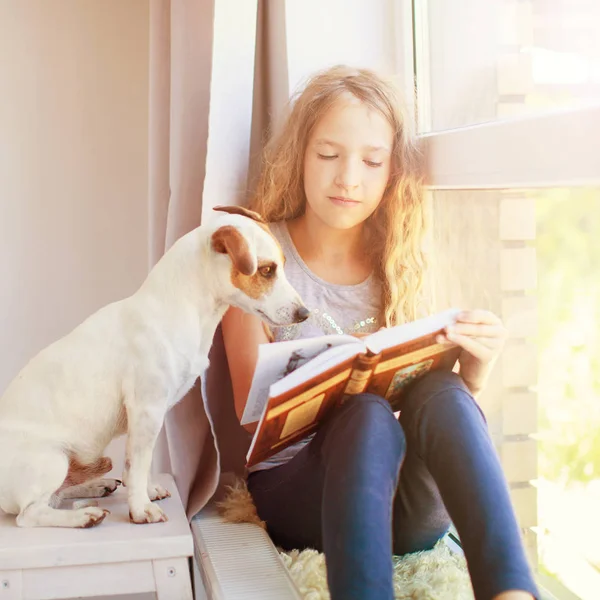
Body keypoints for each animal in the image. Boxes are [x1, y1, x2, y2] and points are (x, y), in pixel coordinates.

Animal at [0, 207, 310, 528]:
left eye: (281, 265)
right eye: (267, 270)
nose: (304, 313)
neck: (183, 310)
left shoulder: (152, 415)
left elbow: (139, 464)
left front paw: (146, 492)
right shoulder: (146, 408)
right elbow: (138, 466)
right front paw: (140, 509)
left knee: (58, 495)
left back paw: (95, 486)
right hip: (51, 459)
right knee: (31, 513)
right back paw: (83, 515)